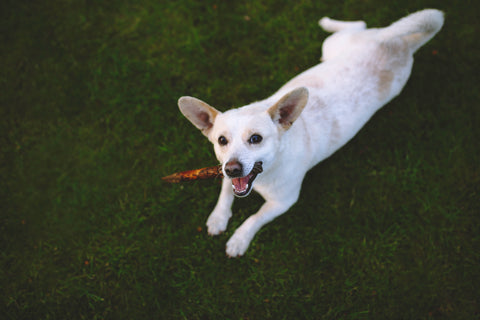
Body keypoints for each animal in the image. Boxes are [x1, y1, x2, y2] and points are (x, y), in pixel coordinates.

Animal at [178, 8, 444, 256]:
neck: (267, 172)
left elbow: (255, 217)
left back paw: (327, 22)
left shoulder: (283, 202)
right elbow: (225, 191)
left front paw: (239, 239)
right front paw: (218, 218)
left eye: (256, 139)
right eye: (222, 140)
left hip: (341, 47)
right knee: (359, 25)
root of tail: (402, 44)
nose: (233, 168)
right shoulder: (225, 171)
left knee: (358, 23)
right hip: (336, 47)